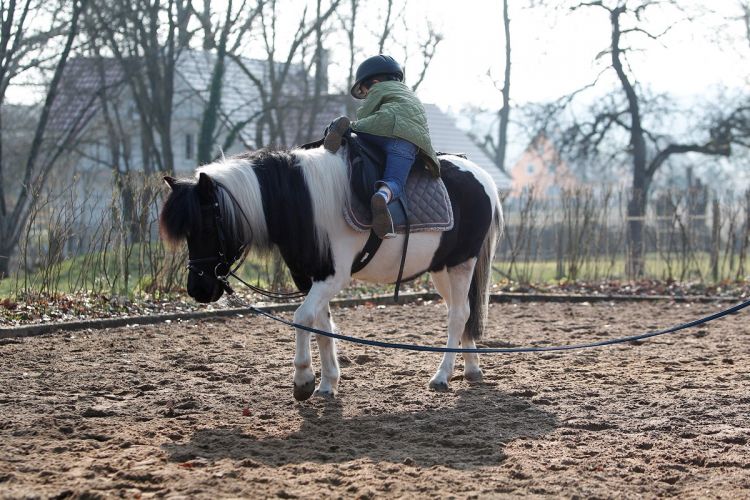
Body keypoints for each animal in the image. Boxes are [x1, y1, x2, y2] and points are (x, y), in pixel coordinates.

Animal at [162, 144, 508, 398]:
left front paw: (303, 380)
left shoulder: (332, 277)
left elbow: (302, 318)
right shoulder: (310, 278)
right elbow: (322, 326)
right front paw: (328, 384)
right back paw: (471, 369)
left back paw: (442, 376)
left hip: (461, 263)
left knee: (458, 315)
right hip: (441, 268)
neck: (303, 203)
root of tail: (483, 178)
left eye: (207, 225)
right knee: (462, 312)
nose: (198, 289)